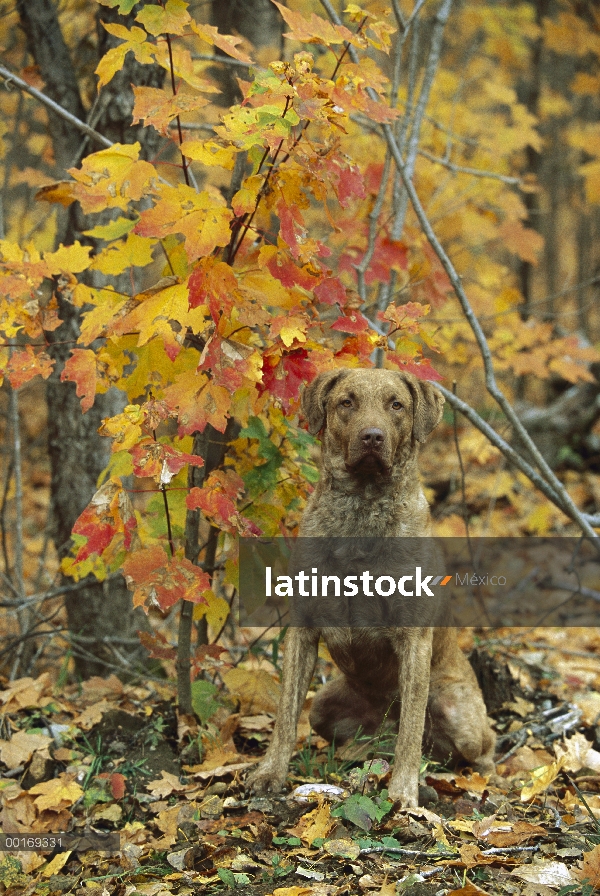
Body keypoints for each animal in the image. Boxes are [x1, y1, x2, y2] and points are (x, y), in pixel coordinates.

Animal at [246, 368, 494, 808]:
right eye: (347, 402)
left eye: (397, 404)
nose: (373, 436)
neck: (360, 512)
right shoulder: (303, 629)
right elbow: (286, 715)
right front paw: (270, 772)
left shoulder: (413, 639)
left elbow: (410, 731)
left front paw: (403, 793)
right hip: (325, 705)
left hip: (456, 709)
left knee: (467, 747)